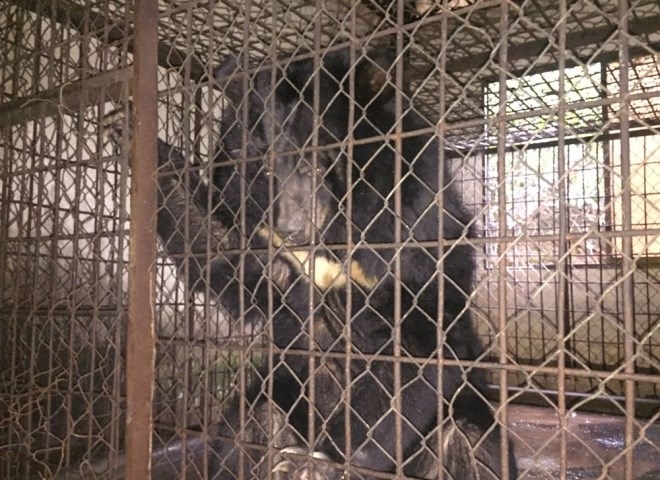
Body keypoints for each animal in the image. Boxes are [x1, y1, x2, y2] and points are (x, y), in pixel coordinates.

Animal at [153, 47, 516, 480]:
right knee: (254, 420)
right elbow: (223, 253)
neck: (332, 237)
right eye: (267, 167)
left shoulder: (417, 237)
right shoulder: (267, 243)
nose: (291, 229)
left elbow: (418, 345)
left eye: (317, 162)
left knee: (468, 441)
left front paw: (338, 461)